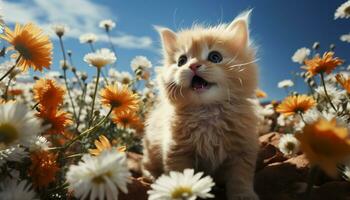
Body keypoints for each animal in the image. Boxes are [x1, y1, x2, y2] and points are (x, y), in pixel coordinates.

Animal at [142, 10, 260, 199]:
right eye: (182, 61)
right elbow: (180, 176)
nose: (193, 65)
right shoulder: (177, 151)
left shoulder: (242, 150)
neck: (208, 111)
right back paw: (154, 178)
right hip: (150, 151)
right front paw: (182, 192)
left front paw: (243, 195)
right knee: (146, 167)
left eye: (215, 57)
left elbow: (240, 178)